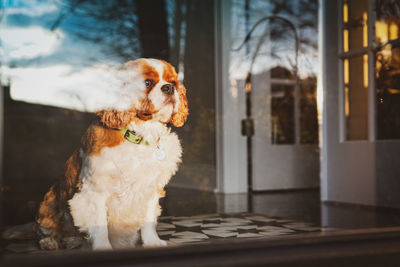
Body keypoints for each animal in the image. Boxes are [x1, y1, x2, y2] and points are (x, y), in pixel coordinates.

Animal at [36, 58, 189, 251]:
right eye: (147, 83)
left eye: (174, 82)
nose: (169, 88)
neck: (140, 134)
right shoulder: (95, 190)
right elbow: (99, 225)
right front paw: (103, 247)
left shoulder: (151, 189)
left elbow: (148, 221)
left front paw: (152, 242)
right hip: (48, 202)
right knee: (48, 229)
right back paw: (50, 241)